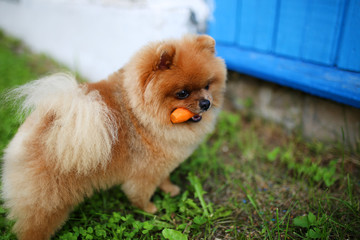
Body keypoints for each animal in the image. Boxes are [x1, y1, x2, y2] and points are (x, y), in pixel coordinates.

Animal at [1, 34, 225, 239]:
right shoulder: (145, 173)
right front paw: (149, 208)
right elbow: (140, 194)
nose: (206, 103)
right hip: (49, 200)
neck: (140, 115)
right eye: (182, 93)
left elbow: (165, 178)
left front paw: (170, 189)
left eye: (207, 85)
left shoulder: (162, 164)